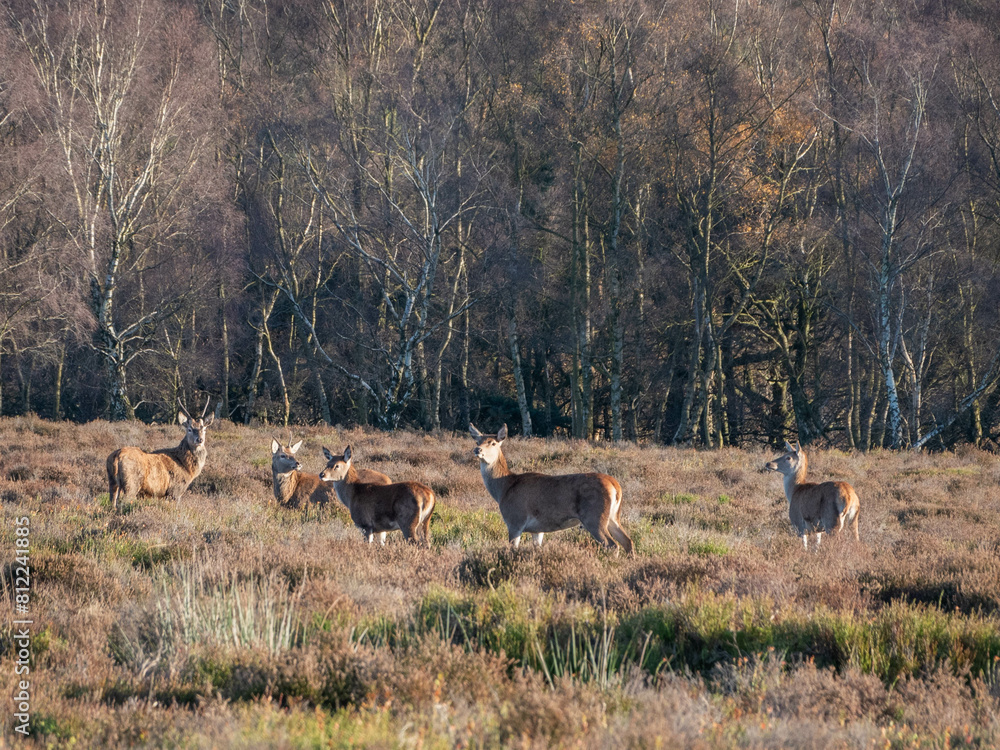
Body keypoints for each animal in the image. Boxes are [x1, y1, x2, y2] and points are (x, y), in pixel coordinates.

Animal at [468, 423, 634, 556]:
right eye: (477, 440)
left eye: (493, 442)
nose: (477, 449)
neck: (503, 489)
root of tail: (615, 485)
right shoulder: (537, 529)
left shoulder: (515, 519)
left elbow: (512, 548)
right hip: (613, 516)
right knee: (628, 541)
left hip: (594, 516)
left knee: (612, 545)